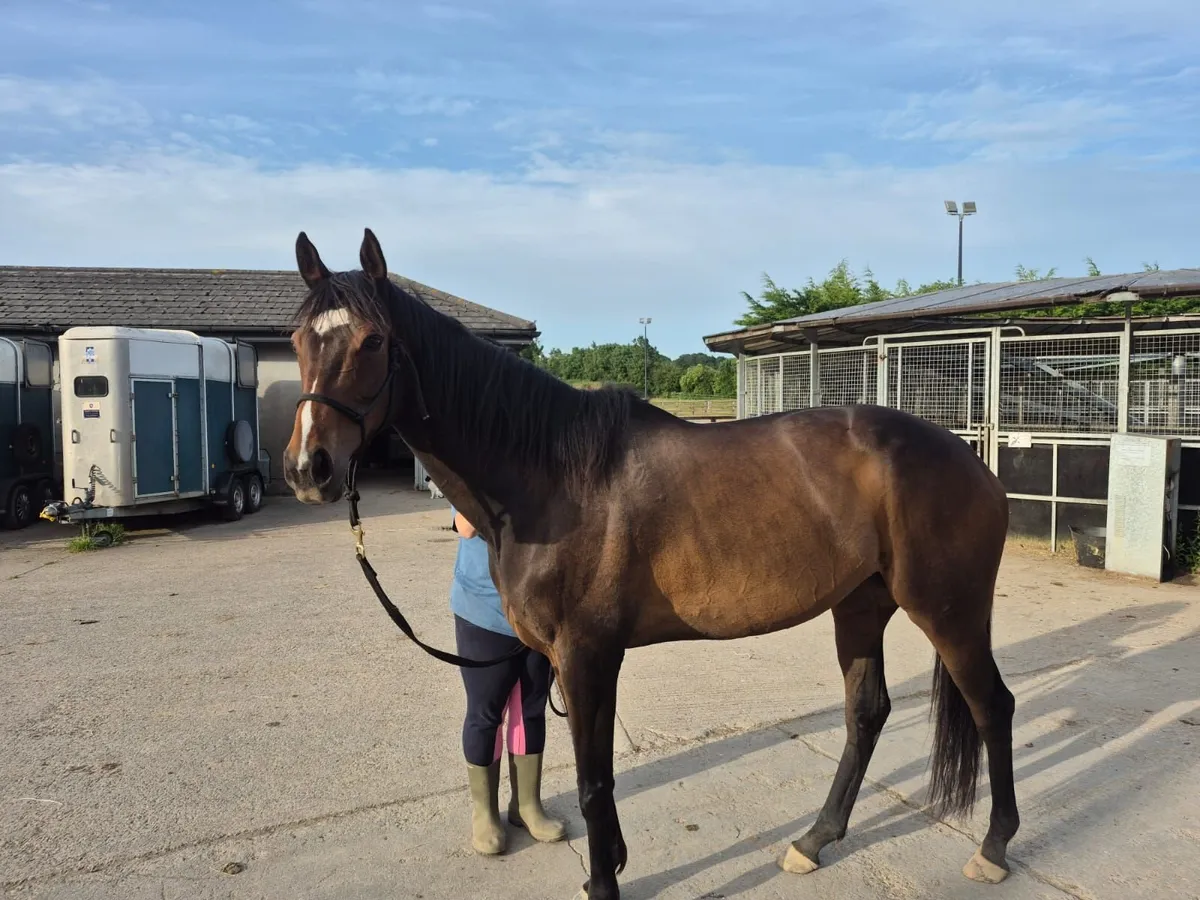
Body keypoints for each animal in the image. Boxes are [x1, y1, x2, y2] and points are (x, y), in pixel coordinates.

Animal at [281, 228, 1019, 900]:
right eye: (296, 341)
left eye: (373, 342)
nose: (309, 468)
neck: (551, 478)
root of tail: (969, 460)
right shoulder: (566, 658)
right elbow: (586, 770)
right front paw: (608, 866)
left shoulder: (587, 654)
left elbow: (592, 779)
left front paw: (604, 882)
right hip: (861, 604)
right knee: (866, 714)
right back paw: (814, 841)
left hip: (948, 611)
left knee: (992, 707)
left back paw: (992, 847)